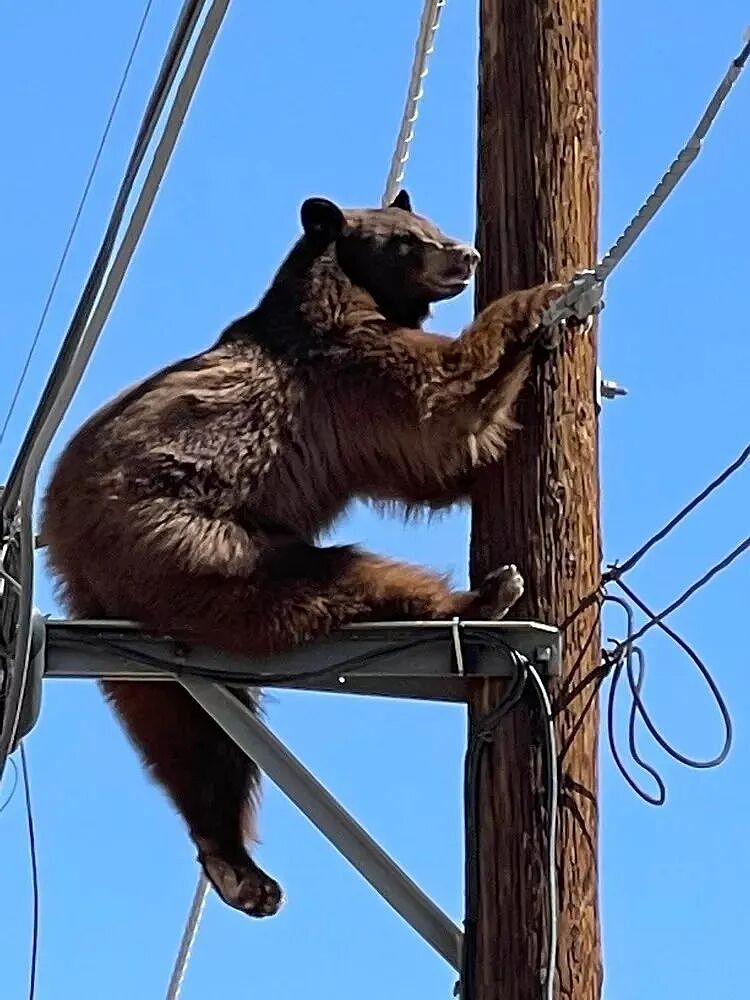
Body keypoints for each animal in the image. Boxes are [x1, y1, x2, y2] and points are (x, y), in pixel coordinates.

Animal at [40, 189, 569, 918]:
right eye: (407, 239)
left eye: (429, 224)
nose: (466, 254)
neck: (340, 292)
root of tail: (62, 529)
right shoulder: (342, 373)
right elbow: (436, 413)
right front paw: (546, 299)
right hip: (195, 540)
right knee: (329, 581)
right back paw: (485, 595)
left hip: (138, 619)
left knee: (180, 730)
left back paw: (235, 866)